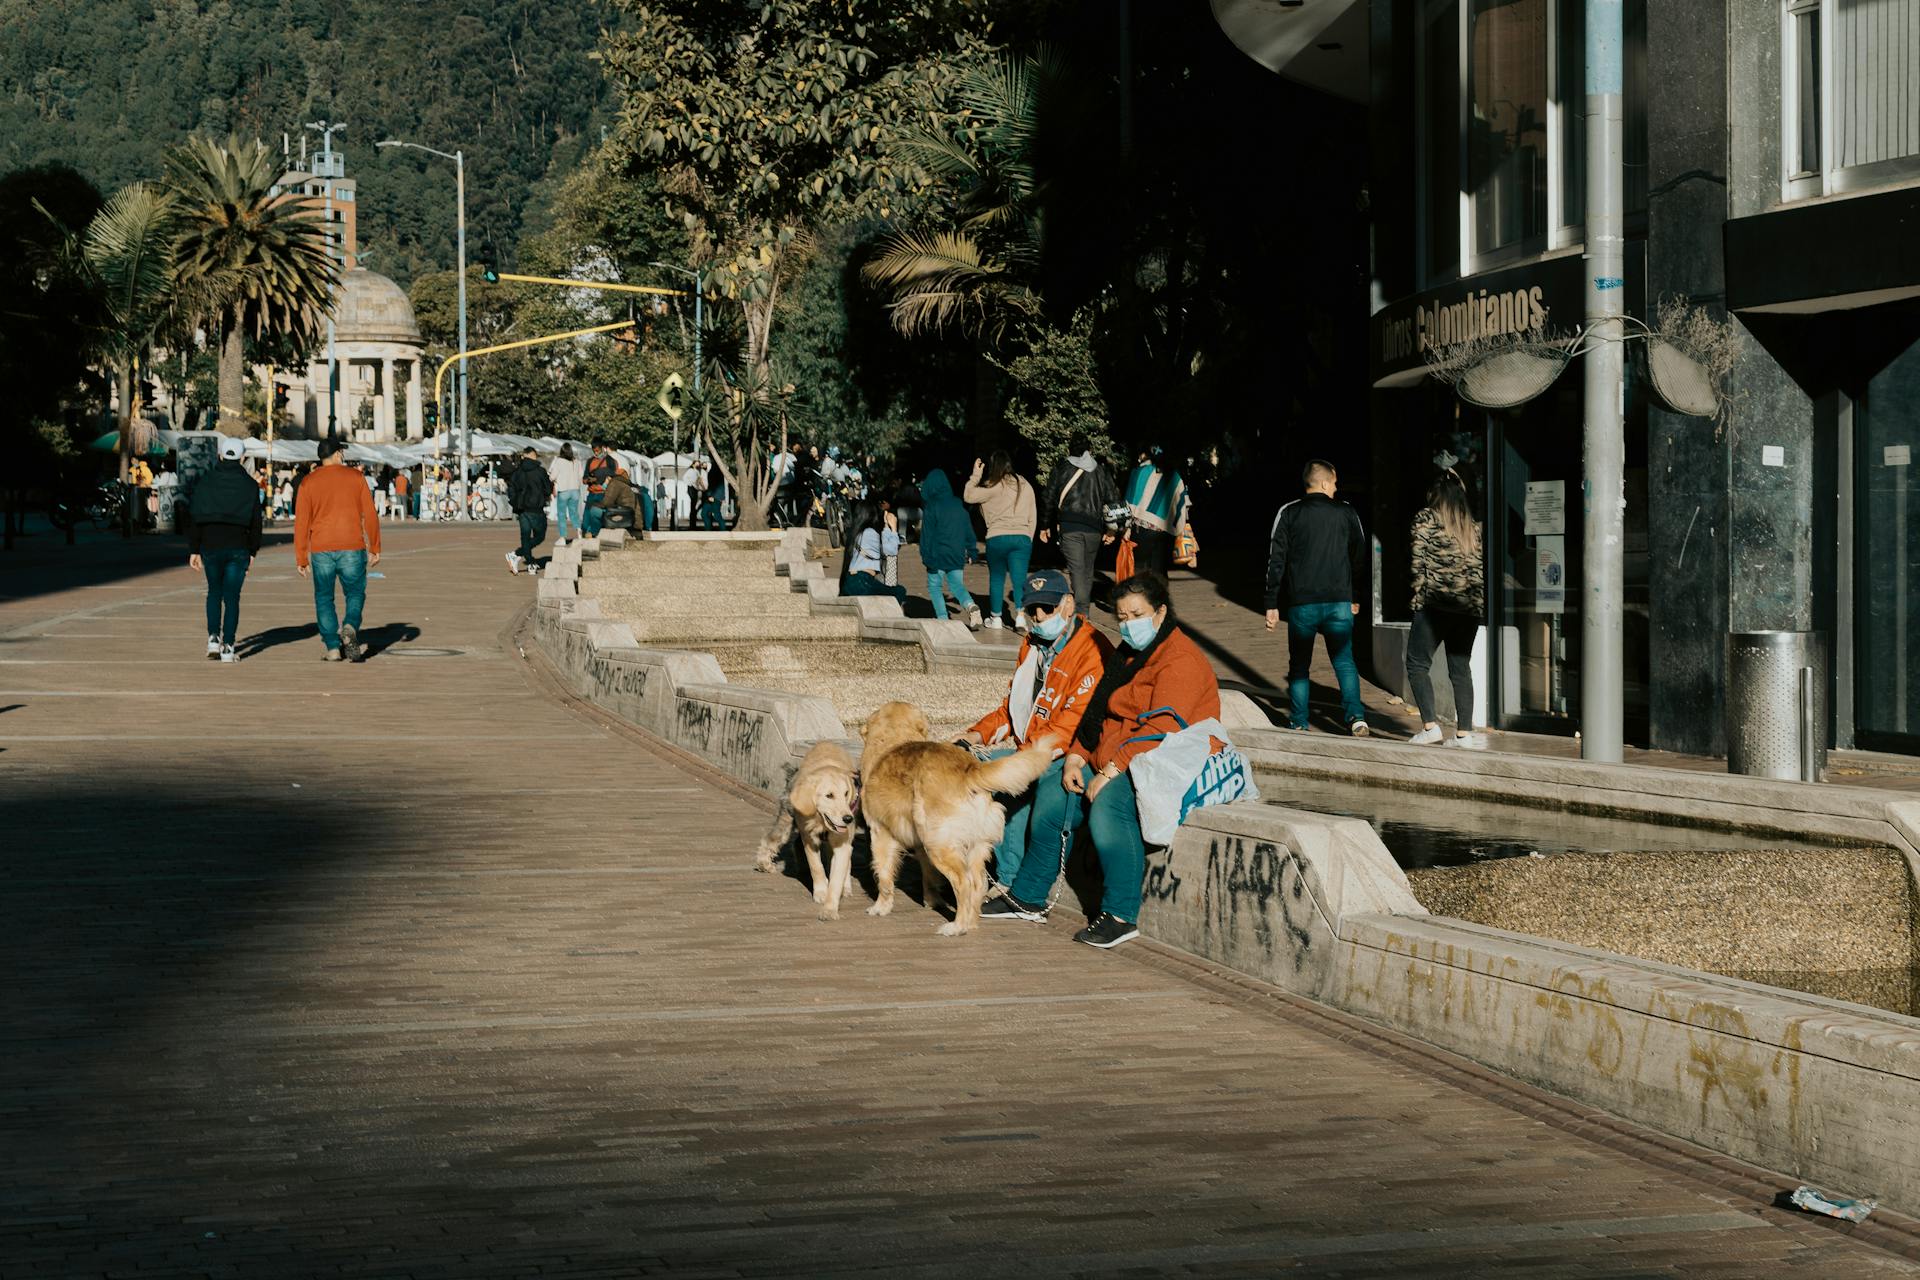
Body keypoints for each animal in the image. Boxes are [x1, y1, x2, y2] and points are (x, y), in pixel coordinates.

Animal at [756, 740, 864, 921]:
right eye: (829, 795)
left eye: (846, 793)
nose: (847, 818)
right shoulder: (809, 838)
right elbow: (816, 866)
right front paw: (821, 892)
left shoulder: (842, 843)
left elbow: (837, 875)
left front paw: (829, 908)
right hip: (787, 817)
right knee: (776, 839)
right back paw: (766, 863)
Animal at [864, 702, 1059, 940]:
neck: (895, 739)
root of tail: (970, 770)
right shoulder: (920, 844)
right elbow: (929, 875)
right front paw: (932, 901)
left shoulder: (880, 832)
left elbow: (883, 875)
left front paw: (881, 907)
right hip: (971, 846)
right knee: (978, 884)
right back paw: (971, 923)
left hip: (939, 845)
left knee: (963, 882)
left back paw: (957, 926)